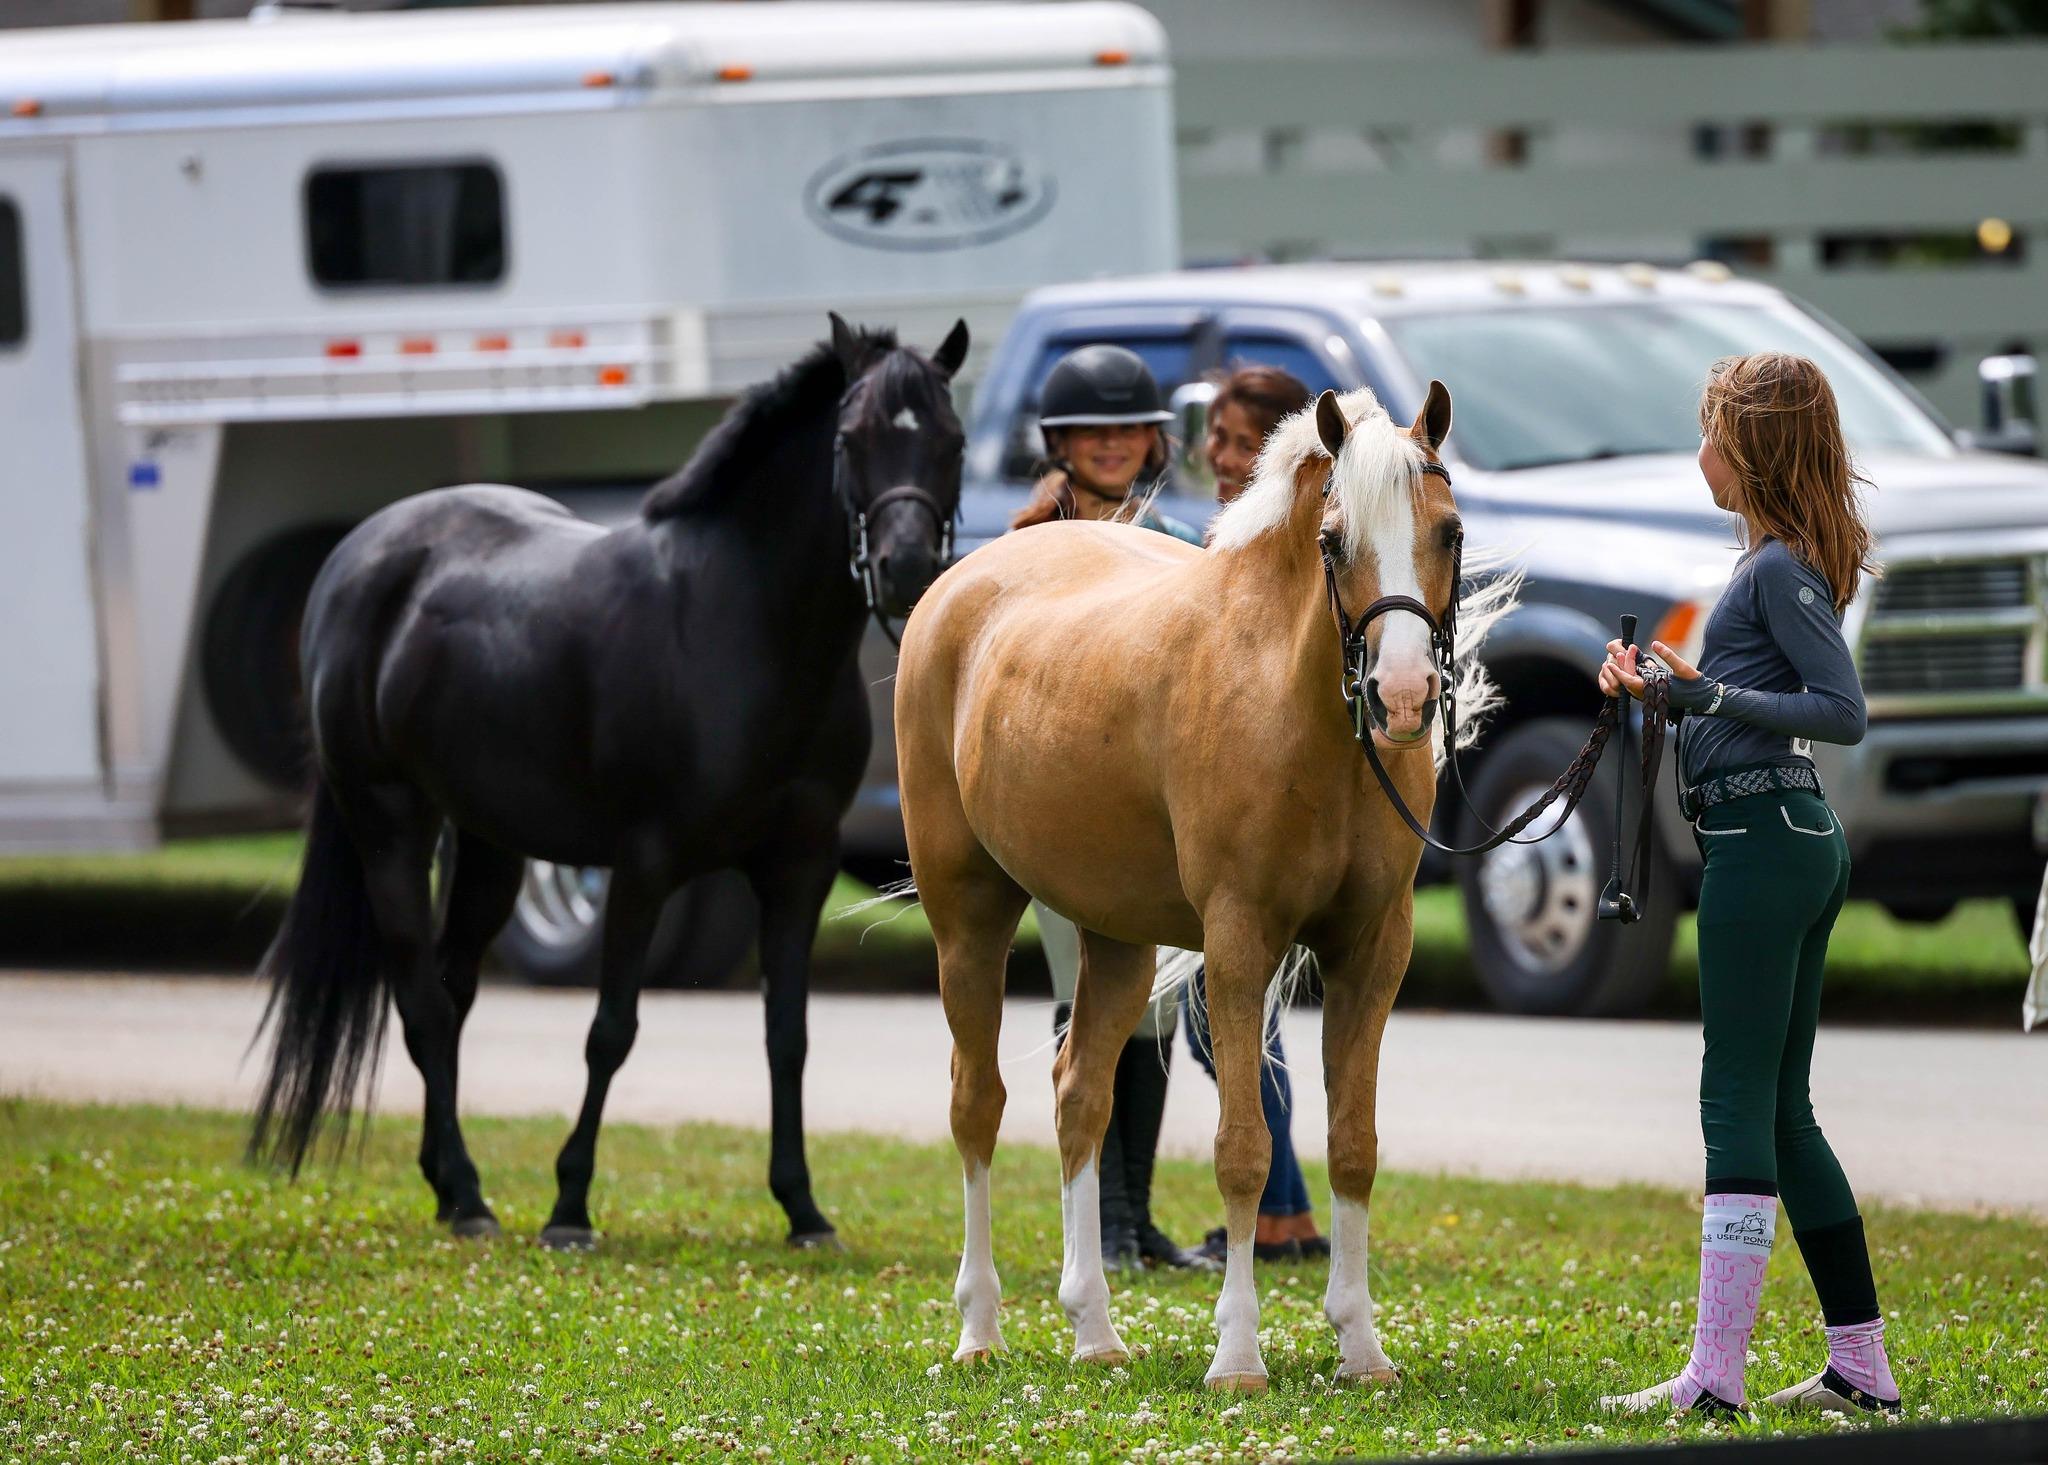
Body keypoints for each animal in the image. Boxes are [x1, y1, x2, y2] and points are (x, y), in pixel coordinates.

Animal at [250, 314, 970, 1250]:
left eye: (952, 441)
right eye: (851, 438)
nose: (906, 567)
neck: (740, 623)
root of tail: (356, 556)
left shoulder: (799, 867)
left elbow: (787, 1034)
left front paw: (804, 1208)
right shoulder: (645, 865)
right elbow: (611, 1029)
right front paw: (569, 1206)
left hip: (489, 844)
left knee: (451, 992)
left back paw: (447, 1186)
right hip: (390, 826)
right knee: (422, 1002)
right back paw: (472, 1197)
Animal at [895, 382, 1510, 1388]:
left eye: (1451, 531)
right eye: (1333, 540)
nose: (1404, 694)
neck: (1293, 706)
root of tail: (955, 586)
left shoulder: (1371, 949)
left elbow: (1353, 1145)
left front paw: (1362, 1347)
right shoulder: (1238, 942)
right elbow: (1242, 1151)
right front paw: (1238, 1354)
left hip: (1116, 938)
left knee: (1080, 1095)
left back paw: (1095, 1328)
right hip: (969, 916)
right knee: (976, 1103)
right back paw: (980, 1327)